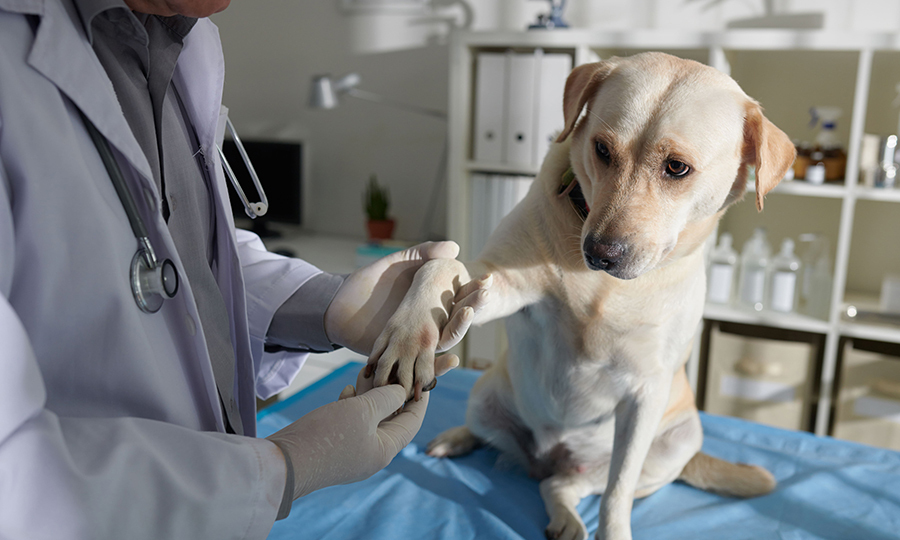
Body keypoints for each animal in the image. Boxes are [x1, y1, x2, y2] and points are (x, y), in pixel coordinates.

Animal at [366, 53, 796, 540]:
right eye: (602, 150)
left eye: (677, 168)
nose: (599, 253)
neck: (604, 287)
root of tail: (543, 459)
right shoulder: (498, 280)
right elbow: (441, 266)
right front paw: (409, 336)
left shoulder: (646, 393)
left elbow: (617, 492)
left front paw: (613, 529)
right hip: (483, 395)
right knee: (492, 436)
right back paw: (456, 438)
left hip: (678, 440)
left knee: (565, 486)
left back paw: (567, 516)